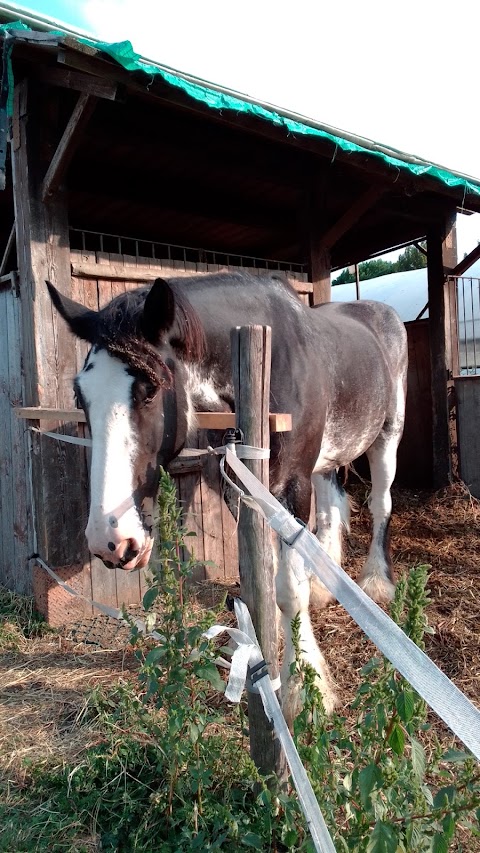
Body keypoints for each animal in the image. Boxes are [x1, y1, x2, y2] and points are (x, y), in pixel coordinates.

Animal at [47, 272, 408, 720]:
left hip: (387, 436)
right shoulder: (243, 488)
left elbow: (289, 592)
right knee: (329, 513)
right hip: (327, 459)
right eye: (81, 396)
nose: (111, 542)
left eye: (149, 390)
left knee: (380, 506)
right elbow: (268, 578)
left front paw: (305, 687)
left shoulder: (291, 487)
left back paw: (376, 583)